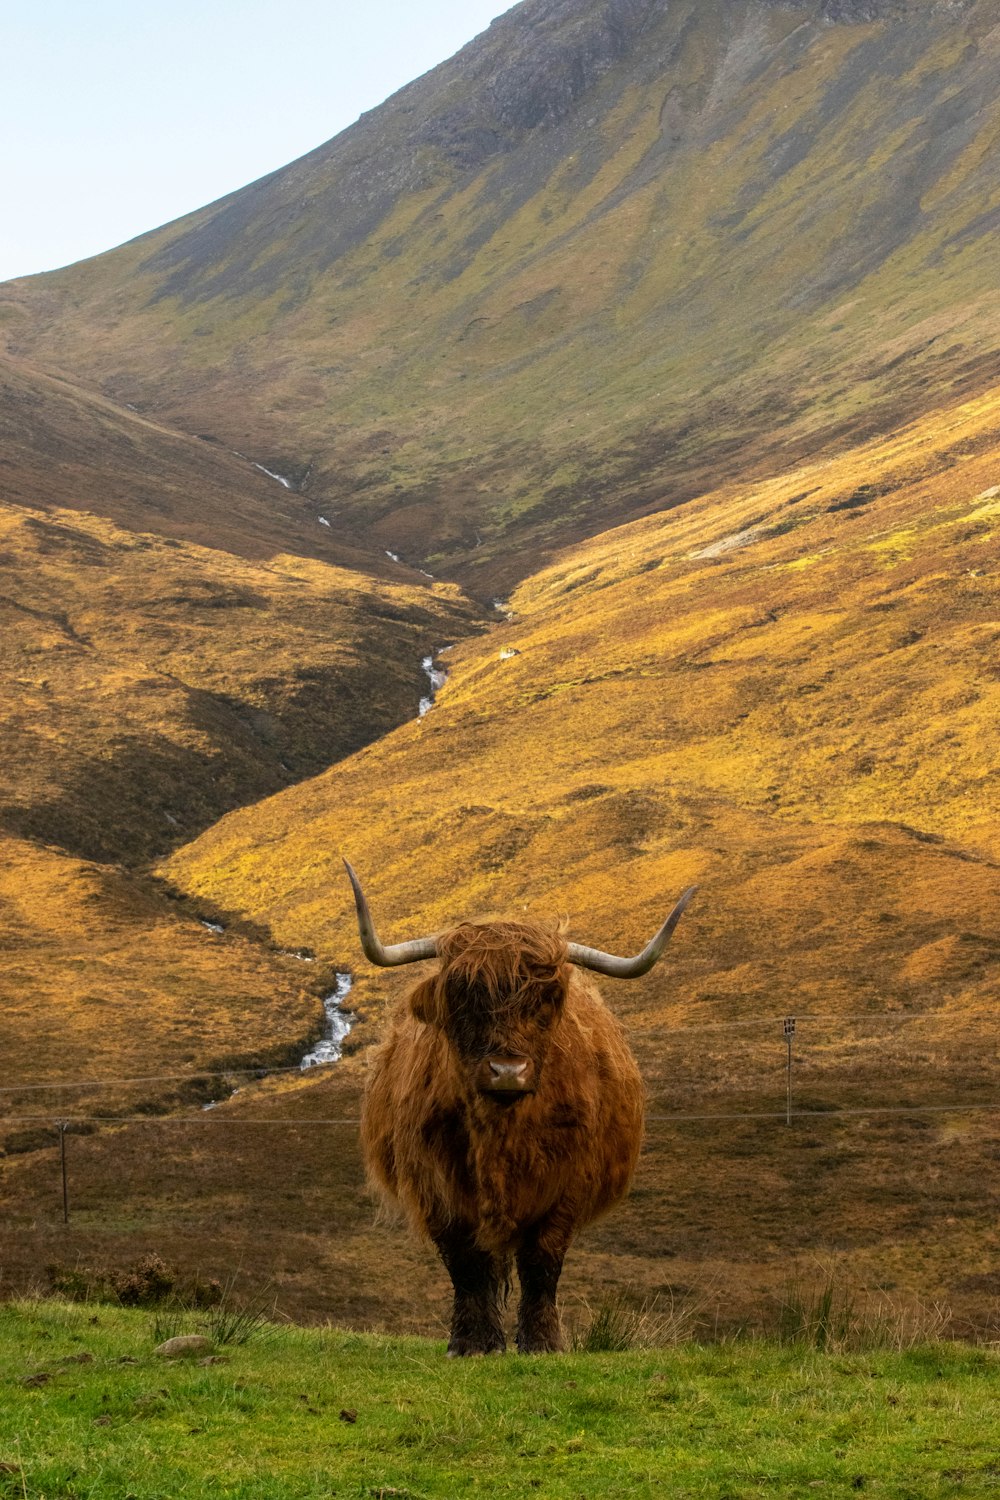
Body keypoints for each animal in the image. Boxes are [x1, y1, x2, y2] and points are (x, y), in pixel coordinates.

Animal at [346, 858, 695, 1362]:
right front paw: (471, 1343)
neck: (501, 1132)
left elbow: (541, 1263)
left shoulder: (568, 1184)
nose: (507, 1071)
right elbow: (467, 1266)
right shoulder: (438, 1186)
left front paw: (543, 1342)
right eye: (463, 995)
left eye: (545, 999)